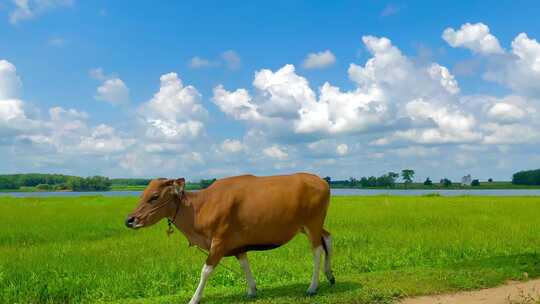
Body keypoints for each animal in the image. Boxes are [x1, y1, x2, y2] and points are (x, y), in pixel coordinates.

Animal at [125, 172, 334, 302]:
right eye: (142, 194)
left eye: (154, 196)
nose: (129, 220)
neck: (199, 207)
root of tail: (321, 180)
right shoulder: (237, 245)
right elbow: (244, 265)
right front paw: (251, 291)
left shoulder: (219, 242)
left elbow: (205, 271)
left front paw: (194, 298)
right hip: (308, 226)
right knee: (328, 238)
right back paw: (330, 275)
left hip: (312, 224)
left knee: (317, 250)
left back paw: (313, 287)